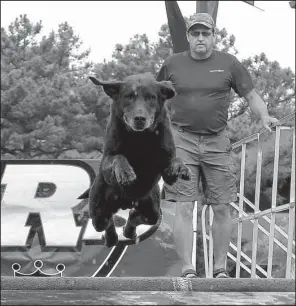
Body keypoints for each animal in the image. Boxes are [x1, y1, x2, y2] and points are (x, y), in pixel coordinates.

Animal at [84, 73, 191, 247]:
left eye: (151, 97)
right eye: (129, 96)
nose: (140, 118)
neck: (140, 137)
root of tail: (125, 203)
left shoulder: (167, 171)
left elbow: (175, 161)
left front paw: (181, 167)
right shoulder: (108, 161)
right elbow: (118, 157)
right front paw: (126, 172)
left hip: (152, 206)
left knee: (139, 217)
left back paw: (129, 231)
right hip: (98, 209)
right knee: (107, 222)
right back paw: (111, 238)